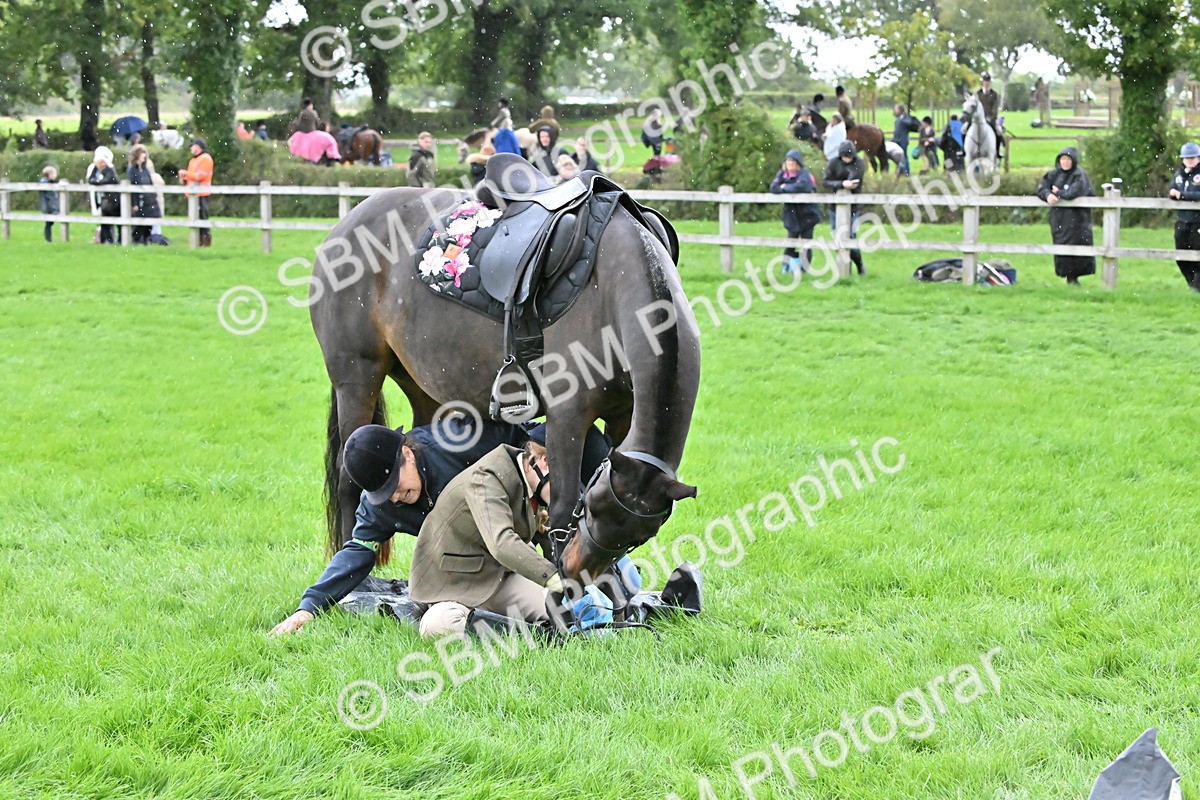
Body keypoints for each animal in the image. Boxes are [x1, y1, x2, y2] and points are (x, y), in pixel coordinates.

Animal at [310, 182, 701, 582]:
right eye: (592, 506)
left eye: (638, 538)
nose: (575, 570)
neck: (611, 283)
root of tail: (347, 221)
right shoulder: (567, 417)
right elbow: (560, 507)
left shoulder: (623, 417)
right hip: (357, 378)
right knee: (347, 477)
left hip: (421, 386)